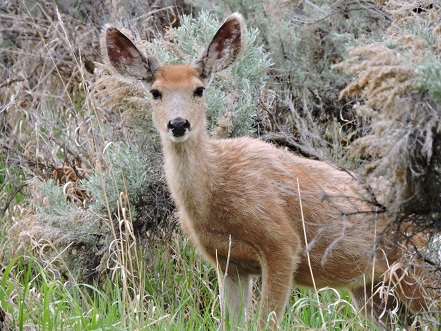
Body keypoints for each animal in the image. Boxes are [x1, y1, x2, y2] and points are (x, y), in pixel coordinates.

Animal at [101, 12, 432, 330]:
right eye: (155, 92)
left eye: (199, 89)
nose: (179, 124)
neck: (215, 191)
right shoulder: (227, 262)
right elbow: (230, 323)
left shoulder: (282, 244)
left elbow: (267, 321)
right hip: (372, 290)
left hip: (418, 271)